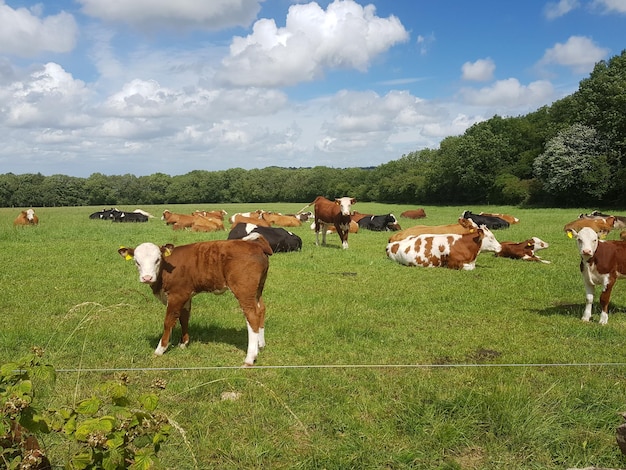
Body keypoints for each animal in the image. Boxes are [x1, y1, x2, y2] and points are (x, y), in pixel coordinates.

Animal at [118, 235, 272, 368]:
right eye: (136, 261)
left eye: (157, 260)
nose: (147, 278)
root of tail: (254, 245)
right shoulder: (186, 295)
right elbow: (184, 318)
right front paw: (183, 343)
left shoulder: (177, 295)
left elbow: (168, 321)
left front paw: (160, 349)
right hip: (257, 290)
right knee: (261, 309)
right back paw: (261, 345)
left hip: (244, 291)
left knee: (252, 316)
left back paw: (249, 358)